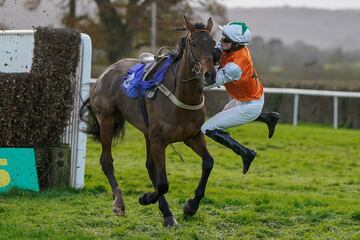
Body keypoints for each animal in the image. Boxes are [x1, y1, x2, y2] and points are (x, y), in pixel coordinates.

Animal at [81, 16, 217, 227]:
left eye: (213, 44)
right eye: (194, 43)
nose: (209, 74)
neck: (182, 96)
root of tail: (105, 73)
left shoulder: (192, 136)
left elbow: (208, 163)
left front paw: (191, 206)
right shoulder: (159, 141)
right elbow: (163, 183)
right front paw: (145, 198)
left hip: (146, 132)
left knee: (150, 167)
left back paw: (167, 213)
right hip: (107, 120)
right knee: (106, 161)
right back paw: (119, 202)